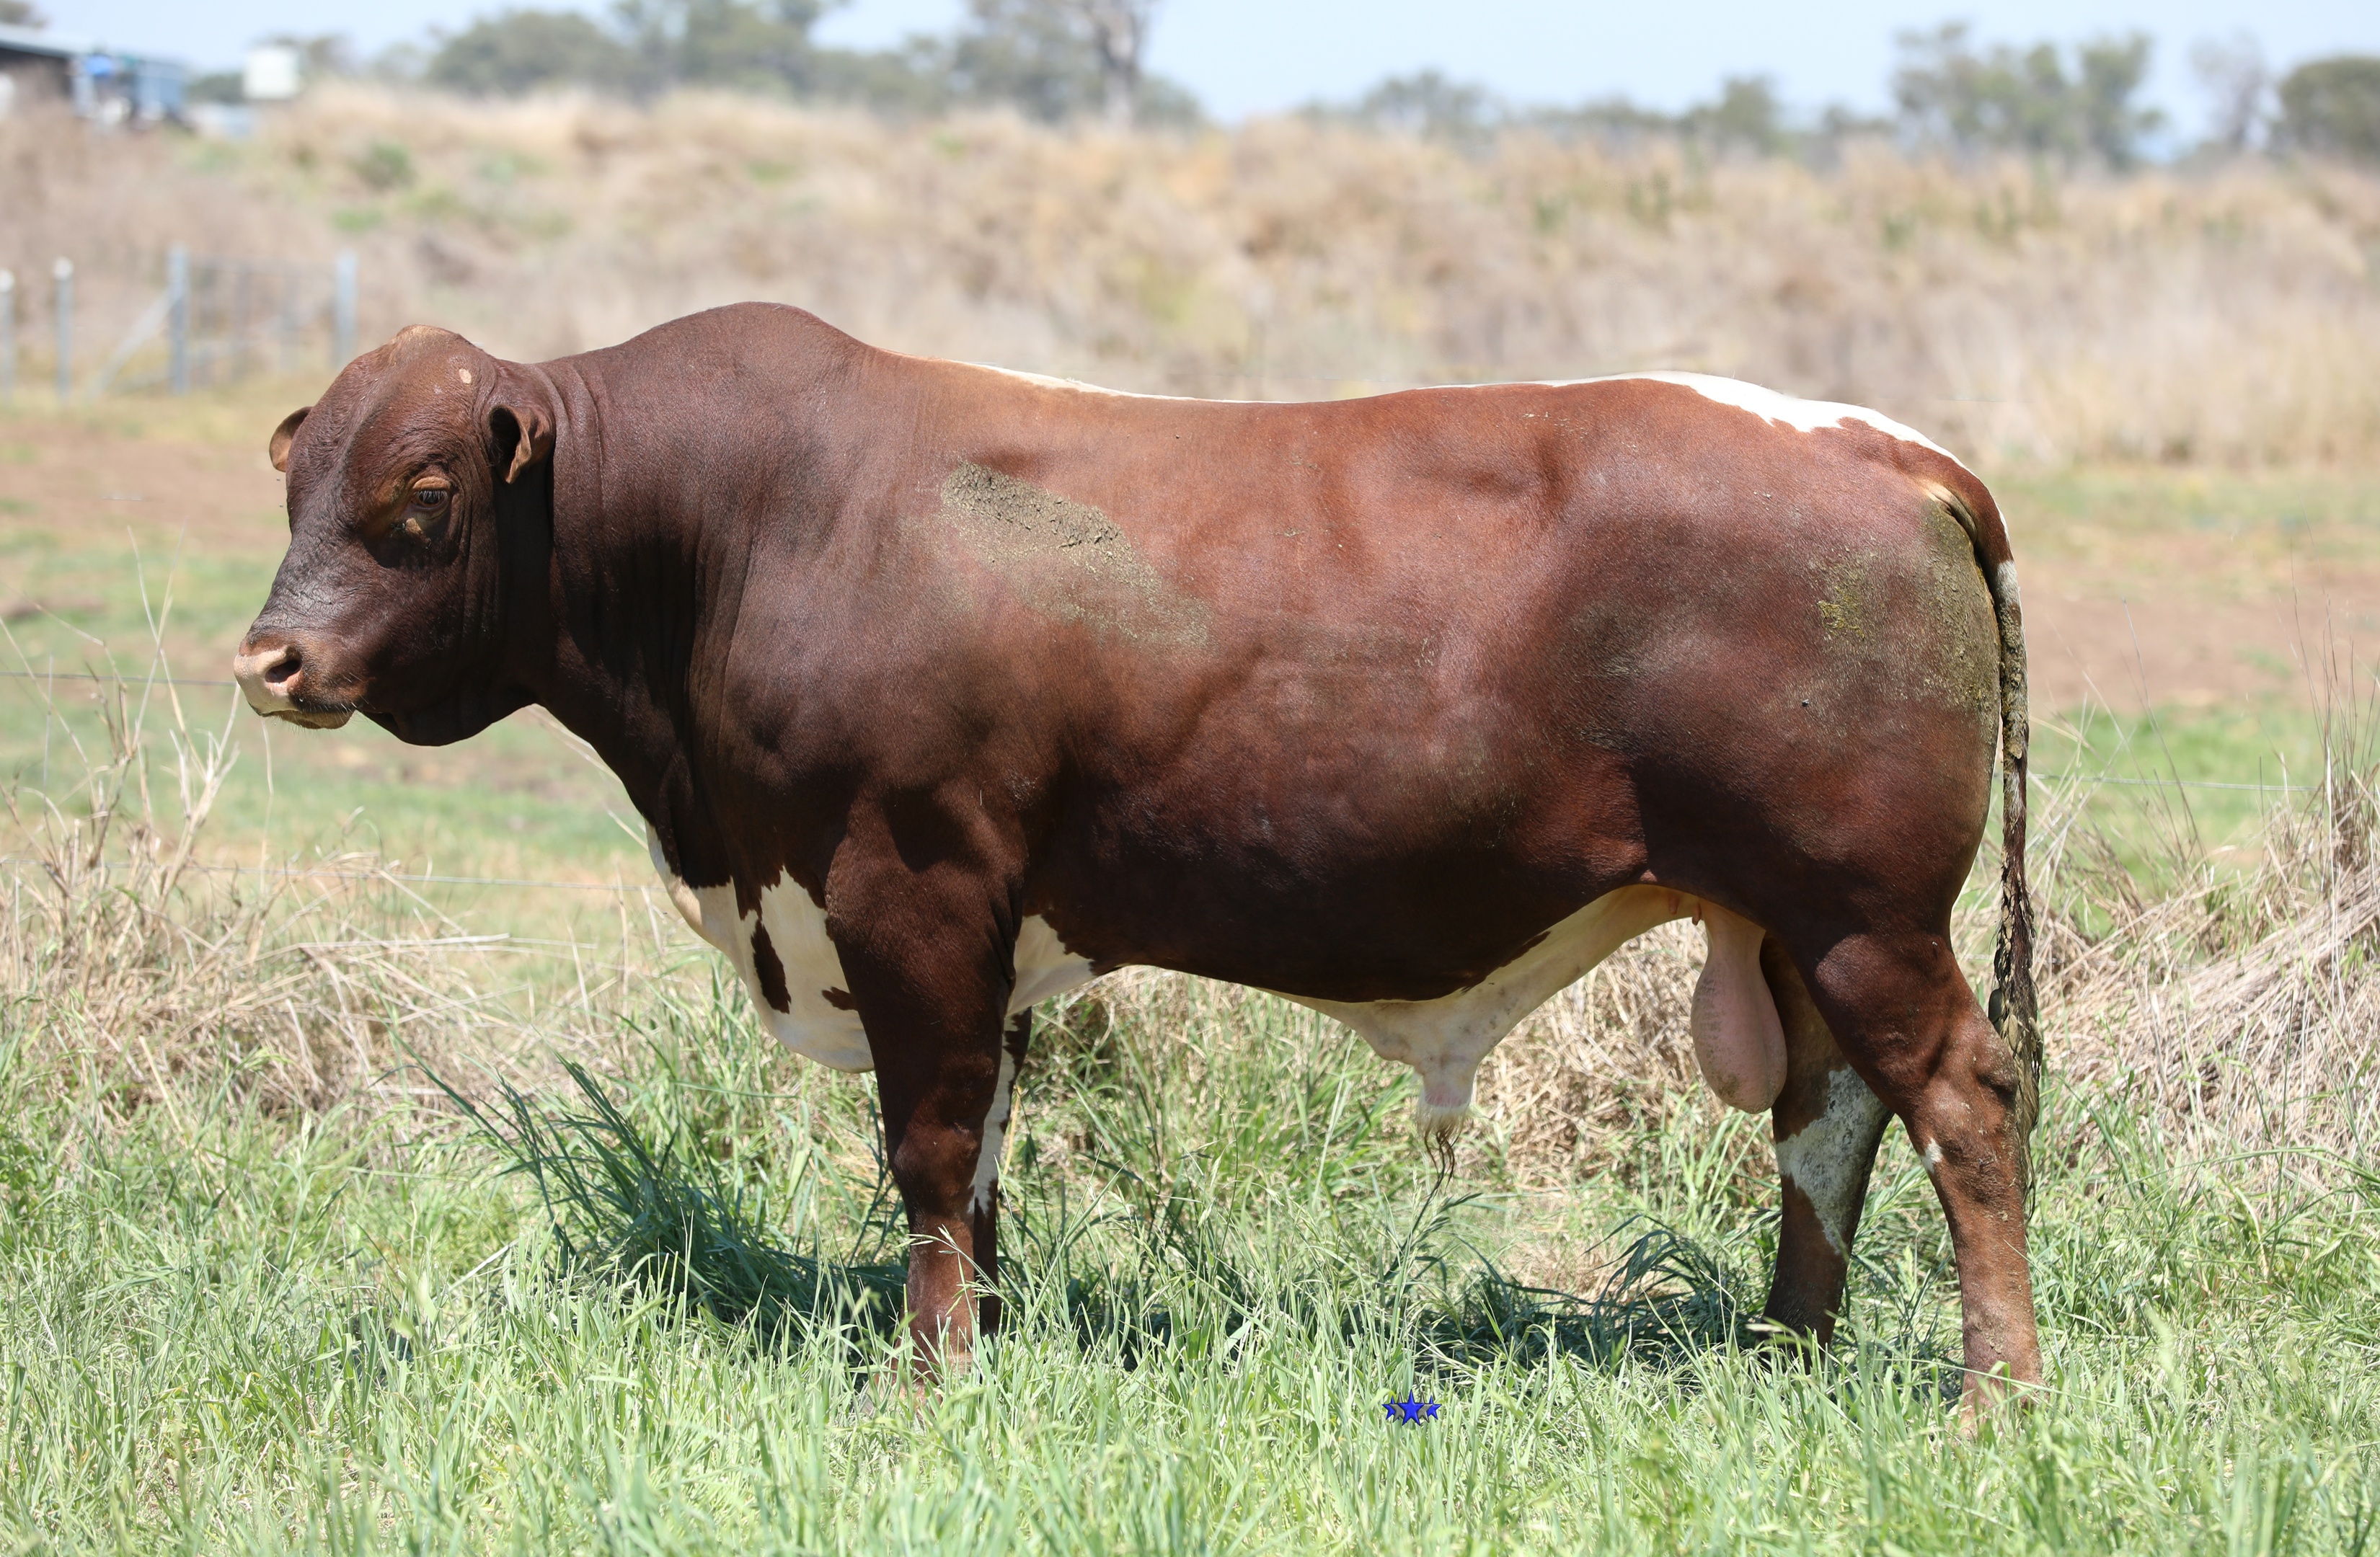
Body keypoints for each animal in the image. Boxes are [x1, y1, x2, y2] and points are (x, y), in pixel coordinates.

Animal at [233, 305, 2041, 1408]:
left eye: (418, 499)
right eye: (297, 478)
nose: (270, 660)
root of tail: (1879, 443)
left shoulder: (908, 890)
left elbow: (928, 1146)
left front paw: (933, 1377)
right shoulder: (985, 933)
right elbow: (983, 1156)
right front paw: (988, 1340)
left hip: (1864, 910)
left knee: (1961, 1102)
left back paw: (1994, 1397)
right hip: (1789, 923)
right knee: (1826, 1121)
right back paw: (1785, 1355)